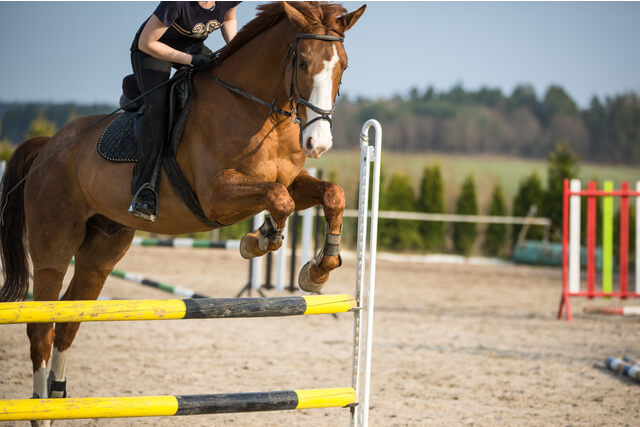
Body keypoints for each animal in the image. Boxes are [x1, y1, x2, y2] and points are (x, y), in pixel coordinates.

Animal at [0, 0, 364, 422]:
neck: (257, 108)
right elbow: (278, 199)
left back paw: (61, 401)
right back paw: (40, 409)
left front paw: (318, 270)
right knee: (41, 326)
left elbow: (331, 194)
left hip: (101, 250)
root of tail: (48, 146)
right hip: (53, 245)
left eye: (343, 66)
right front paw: (258, 240)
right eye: (303, 62)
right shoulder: (216, 194)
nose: (317, 143)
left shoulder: (292, 180)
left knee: (70, 321)